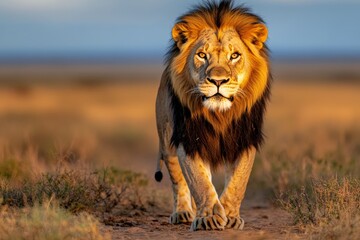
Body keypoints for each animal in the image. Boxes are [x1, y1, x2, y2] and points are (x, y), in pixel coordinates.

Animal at [154, 0, 270, 232]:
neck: (219, 115)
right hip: (167, 140)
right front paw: (209, 217)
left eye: (234, 55)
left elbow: (237, 183)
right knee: (178, 180)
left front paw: (230, 216)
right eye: (202, 55)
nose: (218, 81)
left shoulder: (245, 139)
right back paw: (182, 212)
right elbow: (198, 181)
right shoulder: (188, 139)